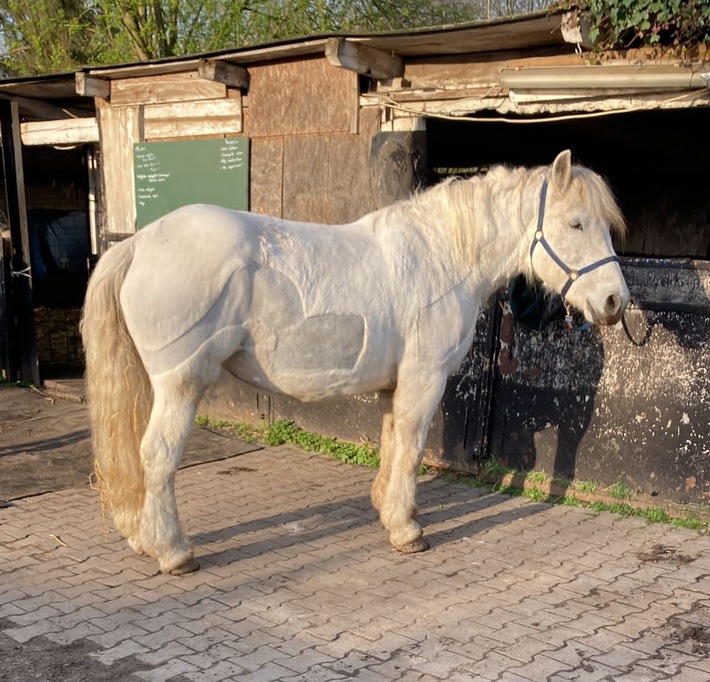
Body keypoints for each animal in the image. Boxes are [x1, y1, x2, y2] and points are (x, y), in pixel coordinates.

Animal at [80, 150, 632, 572]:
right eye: (576, 223)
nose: (614, 301)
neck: (442, 257)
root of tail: (137, 244)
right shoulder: (425, 380)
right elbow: (411, 447)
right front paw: (407, 529)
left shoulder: (396, 385)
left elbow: (392, 442)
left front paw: (387, 509)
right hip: (180, 384)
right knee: (158, 455)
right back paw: (174, 552)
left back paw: (142, 536)